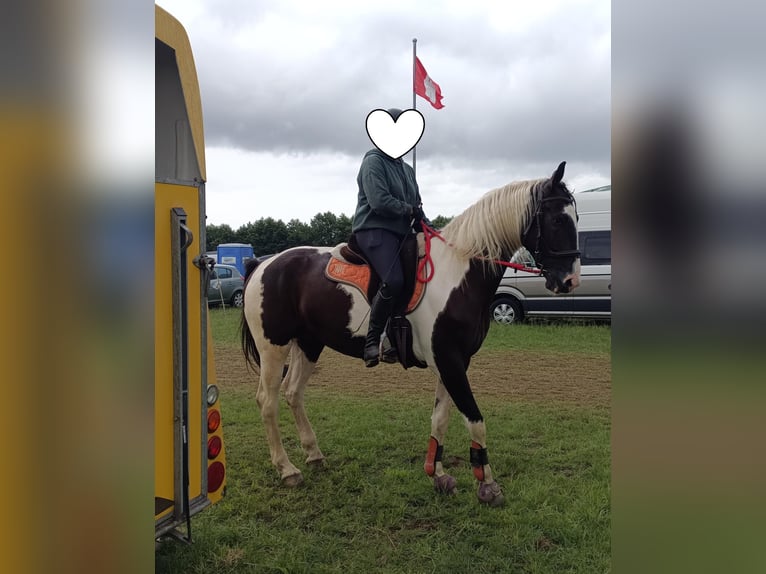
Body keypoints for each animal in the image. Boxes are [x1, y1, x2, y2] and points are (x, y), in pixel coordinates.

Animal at [240, 161, 580, 506]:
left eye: (576, 217)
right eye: (557, 219)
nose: (570, 281)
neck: (456, 275)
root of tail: (262, 264)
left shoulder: (454, 362)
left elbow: (440, 418)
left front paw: (438, 475)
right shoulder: (449, 360)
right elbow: (475, 420)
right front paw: (487, 486)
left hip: (309, 344)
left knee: (293, 393)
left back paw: (314, 455)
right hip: (273, 347)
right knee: (267, 401)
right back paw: (287, 469)